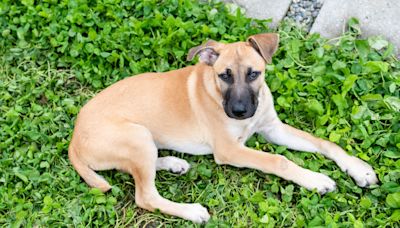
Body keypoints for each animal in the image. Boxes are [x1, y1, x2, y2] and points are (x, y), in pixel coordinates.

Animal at [69, 33, 378, 223]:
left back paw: (173, 163)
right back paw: (192, 211)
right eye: (224, 76)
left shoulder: (272, 128)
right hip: (137, 135)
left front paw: (359, 169)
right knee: (145, 195)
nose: (240, 112)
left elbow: (325, 143)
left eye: (254, 74)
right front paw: (316, 180)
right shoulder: (230, 150)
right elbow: (279, 160)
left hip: (143, 142)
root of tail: (73, 140)